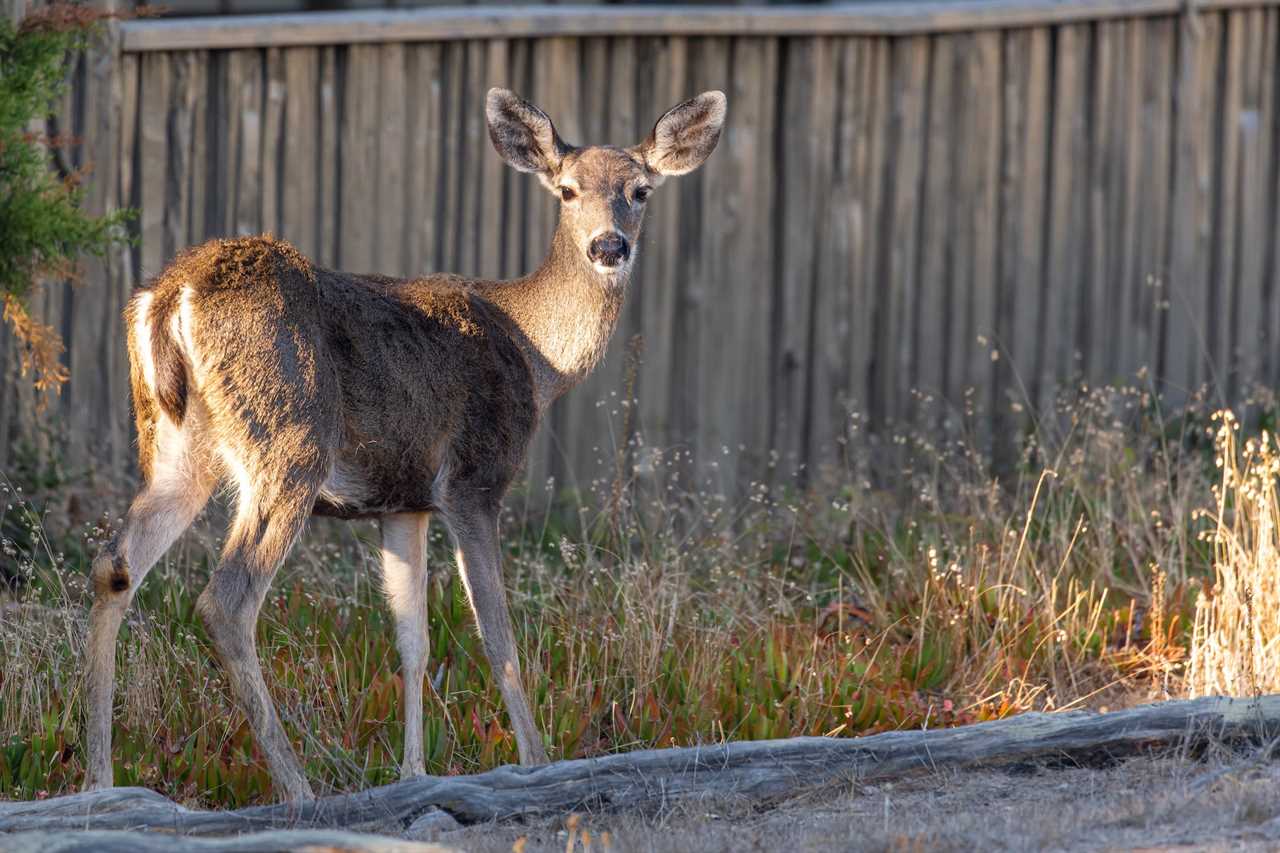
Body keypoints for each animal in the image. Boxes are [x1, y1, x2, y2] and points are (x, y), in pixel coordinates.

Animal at [85, 86, 732, 799]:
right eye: (566, 190)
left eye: (640, 191)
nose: (609, 246)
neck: (537, 356)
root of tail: (173, 293)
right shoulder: (473, 478)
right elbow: (497, 636)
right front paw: (537, 762)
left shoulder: (404, 501)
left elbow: (412, 639)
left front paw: (414, 773)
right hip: (290, 439)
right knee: (226, 600)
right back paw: (297, 786)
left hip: (176, 448)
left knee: (114, 567)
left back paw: (98, 779)